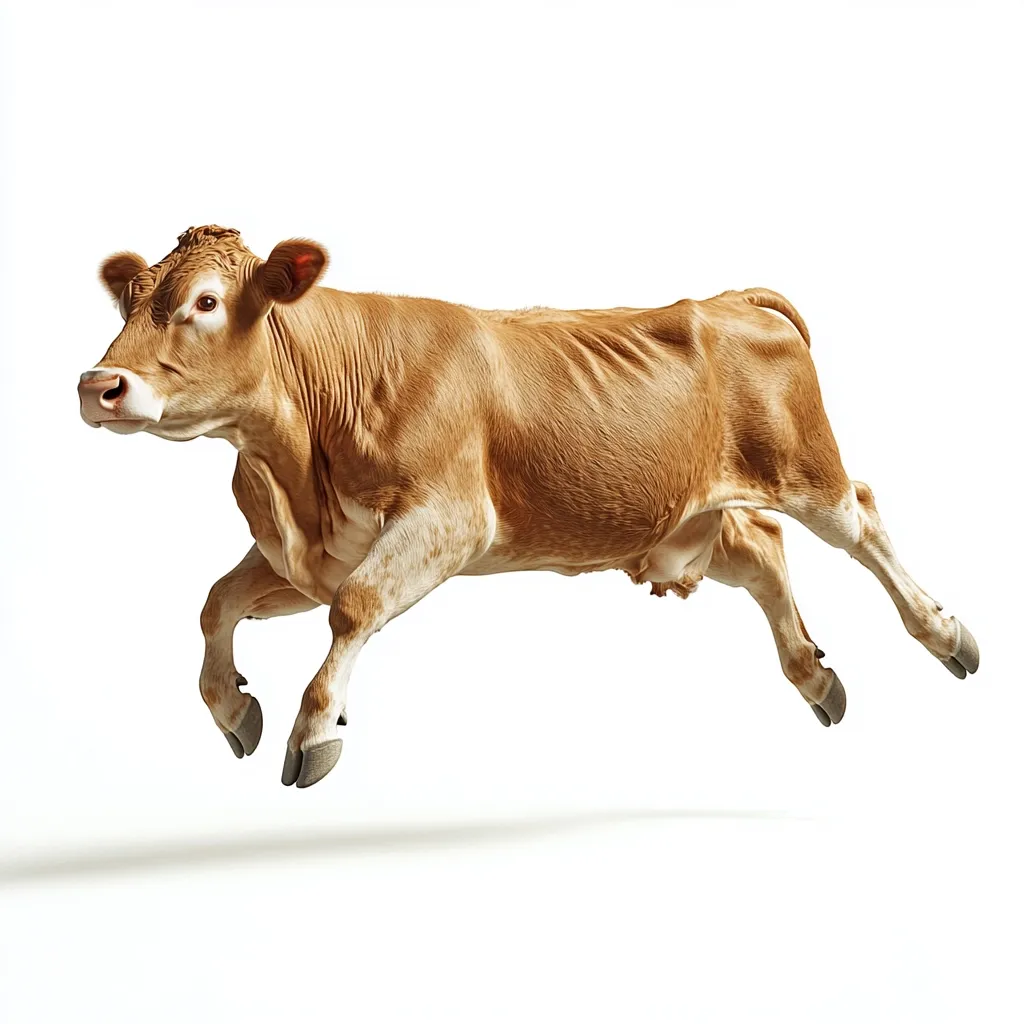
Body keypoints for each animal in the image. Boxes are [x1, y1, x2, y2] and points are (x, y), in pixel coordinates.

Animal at [78, 225, 980, 789]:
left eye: (205, 302)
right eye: (128, 302)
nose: (98, 384)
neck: (297, 474)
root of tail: (728, 298)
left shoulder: (449, 519)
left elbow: (354, 608)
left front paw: (316, 732)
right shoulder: (307, 555)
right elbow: (216, 603)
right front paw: (234, 707)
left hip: (803, 466)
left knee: (861, 517)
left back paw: (947, 635)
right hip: (681, 521)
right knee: (760, 549)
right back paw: (814, 676)